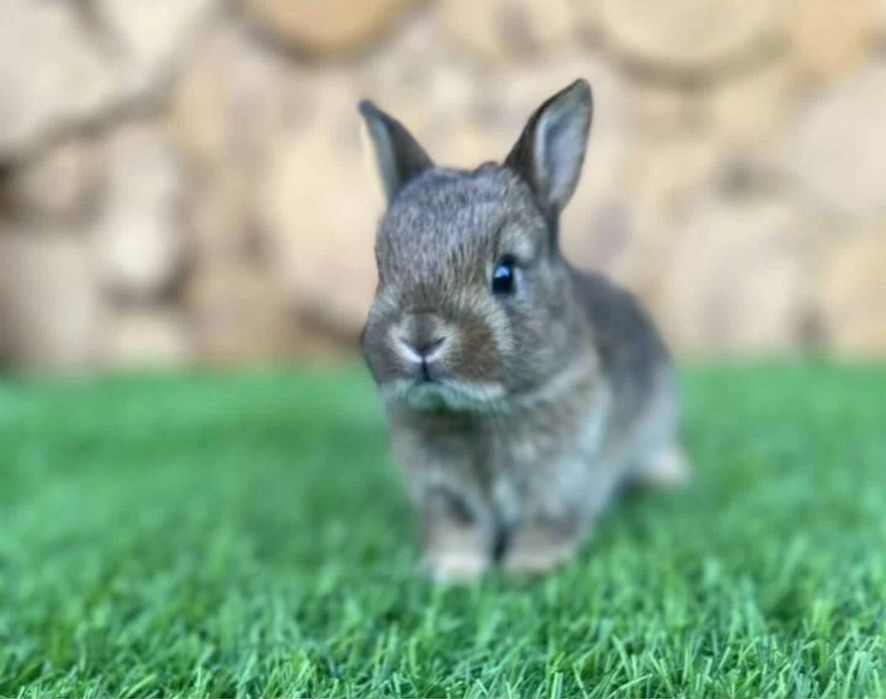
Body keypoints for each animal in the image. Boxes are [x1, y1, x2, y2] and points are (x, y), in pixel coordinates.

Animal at [358, 79, 688, 582]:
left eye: (505, 274)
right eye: (381, 270)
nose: (421, 338)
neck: (477, 412)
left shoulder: (562, 482)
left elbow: (543, 525)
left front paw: (529, 571)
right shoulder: (443, 492)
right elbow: (456, 529)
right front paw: (453, 574)